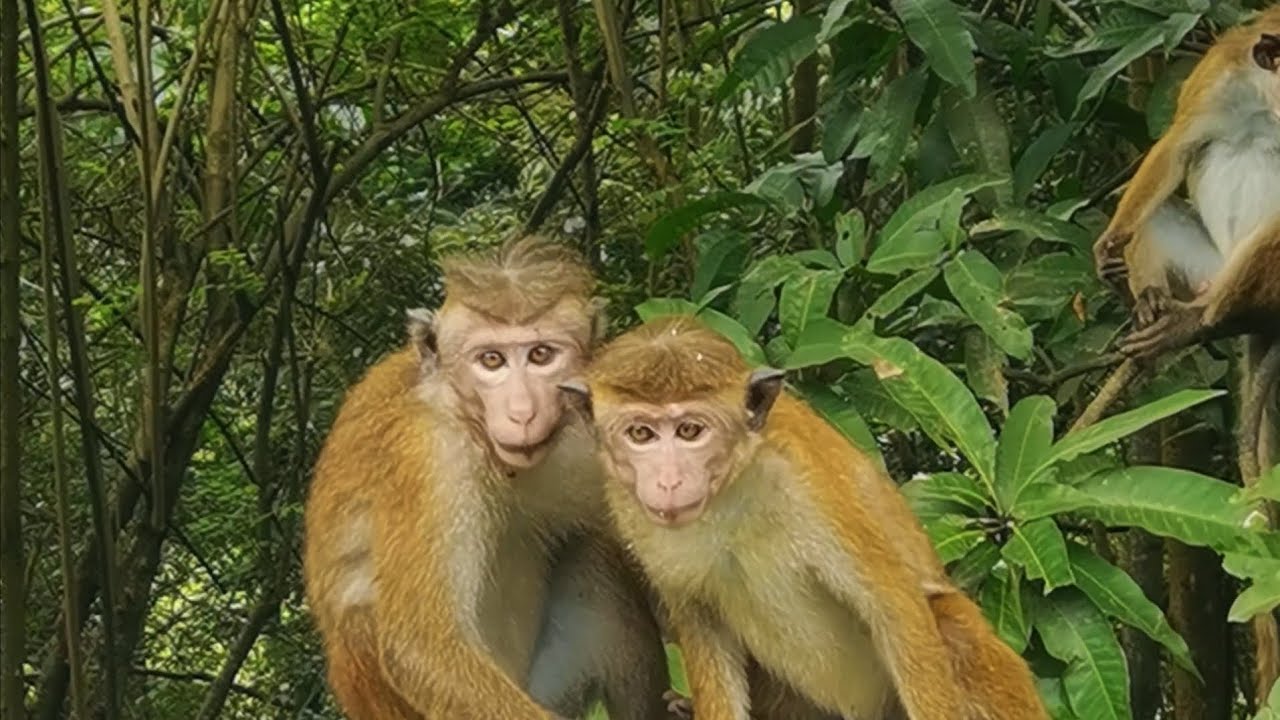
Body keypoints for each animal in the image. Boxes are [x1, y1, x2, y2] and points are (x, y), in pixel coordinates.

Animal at [302, 236, 676, 720]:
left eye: (541, 355)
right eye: (491, 360)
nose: (522, 411)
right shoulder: (429, 454)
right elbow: (421, 648)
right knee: (362, 614)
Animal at [559, 315, 1049, 720]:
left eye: (690, 431)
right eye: (640, 433)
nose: (667, 480)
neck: (727, 496)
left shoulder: (814, 488)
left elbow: (895, 609)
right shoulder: (630, 515)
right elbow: (701, 625)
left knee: (948, 626)